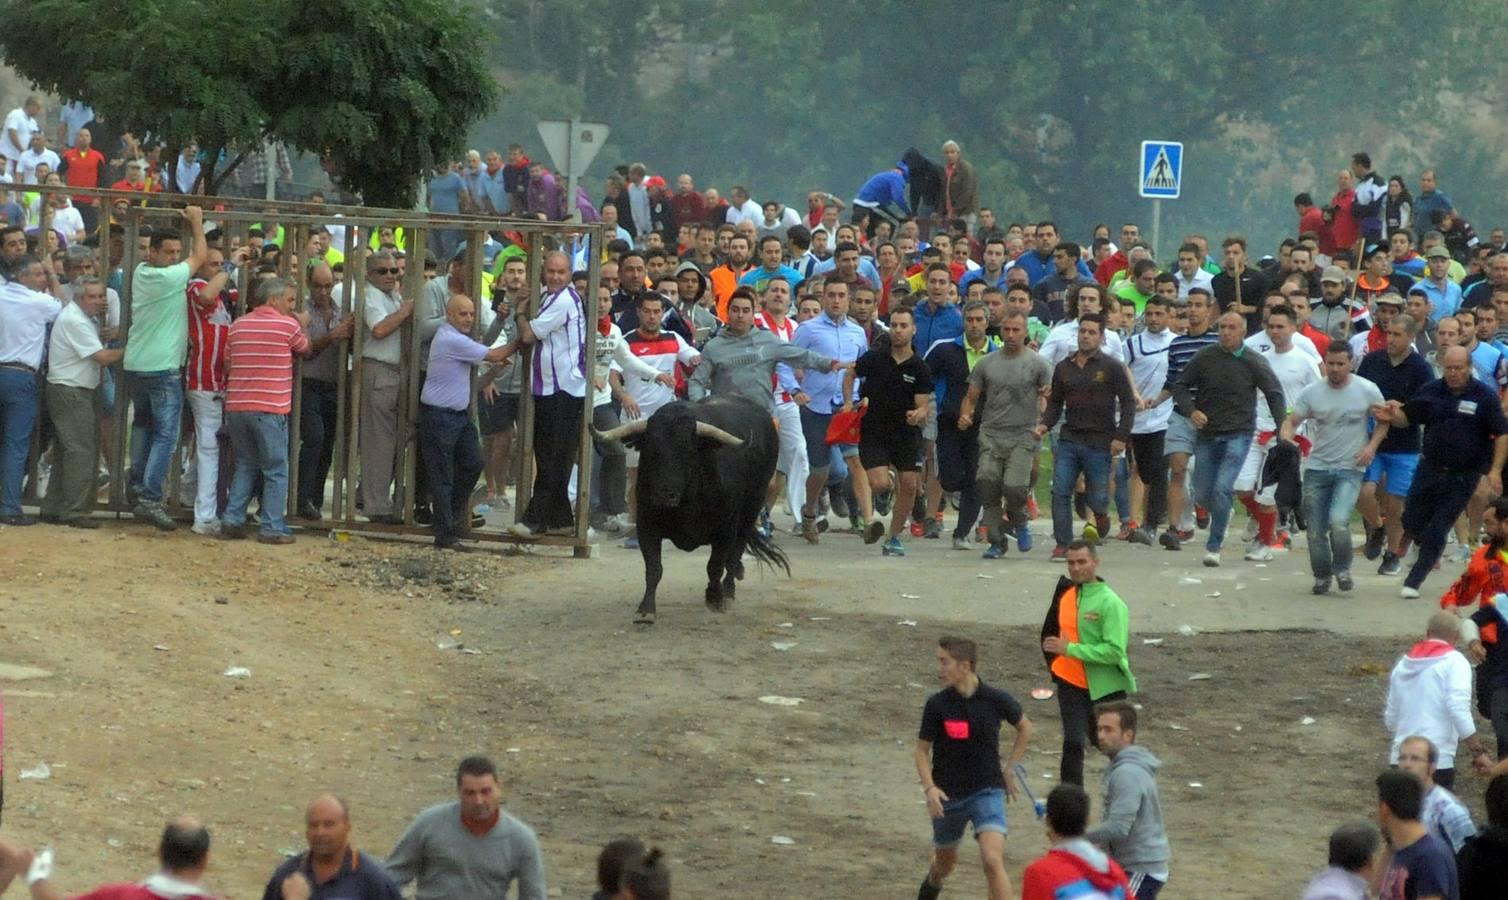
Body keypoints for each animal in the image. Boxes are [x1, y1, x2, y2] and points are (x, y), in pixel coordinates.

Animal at [594, 397, 796, 621]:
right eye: (650, 450)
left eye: (689, 452)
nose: (665, 494)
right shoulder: (646, 526)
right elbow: (654, 568)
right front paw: (646, 609)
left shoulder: (725, 530)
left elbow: (715, 566)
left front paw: (714, 598)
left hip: (751, 509)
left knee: (734, 554)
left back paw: (728, 593)